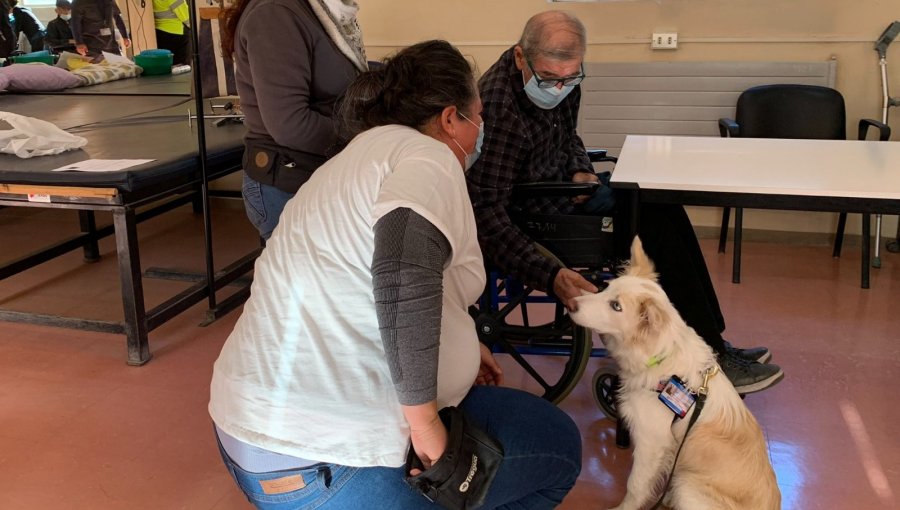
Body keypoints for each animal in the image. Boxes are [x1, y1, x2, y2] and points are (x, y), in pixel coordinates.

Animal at [572, 239, 776, 510]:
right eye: (606, 288)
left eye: (616, 306)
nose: (572, 303)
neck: (659, 359)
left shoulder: (651, 442)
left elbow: (635, 486)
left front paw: (623, 508)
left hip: (686, 485)